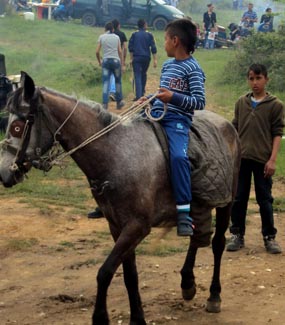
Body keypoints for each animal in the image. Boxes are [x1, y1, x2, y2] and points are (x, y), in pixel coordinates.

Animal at [0, 72, 240, 322]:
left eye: (16, 127)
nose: (5, 172)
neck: (116, 156)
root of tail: (227, 125)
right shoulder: (117, 226)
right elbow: (129, 274)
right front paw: (137, 317)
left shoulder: (137, 227)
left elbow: (105, 272)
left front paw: (100, 317)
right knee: (196, 236)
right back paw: (187, 282)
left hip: (227, 202)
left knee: (217, 243)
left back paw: (214, 295)